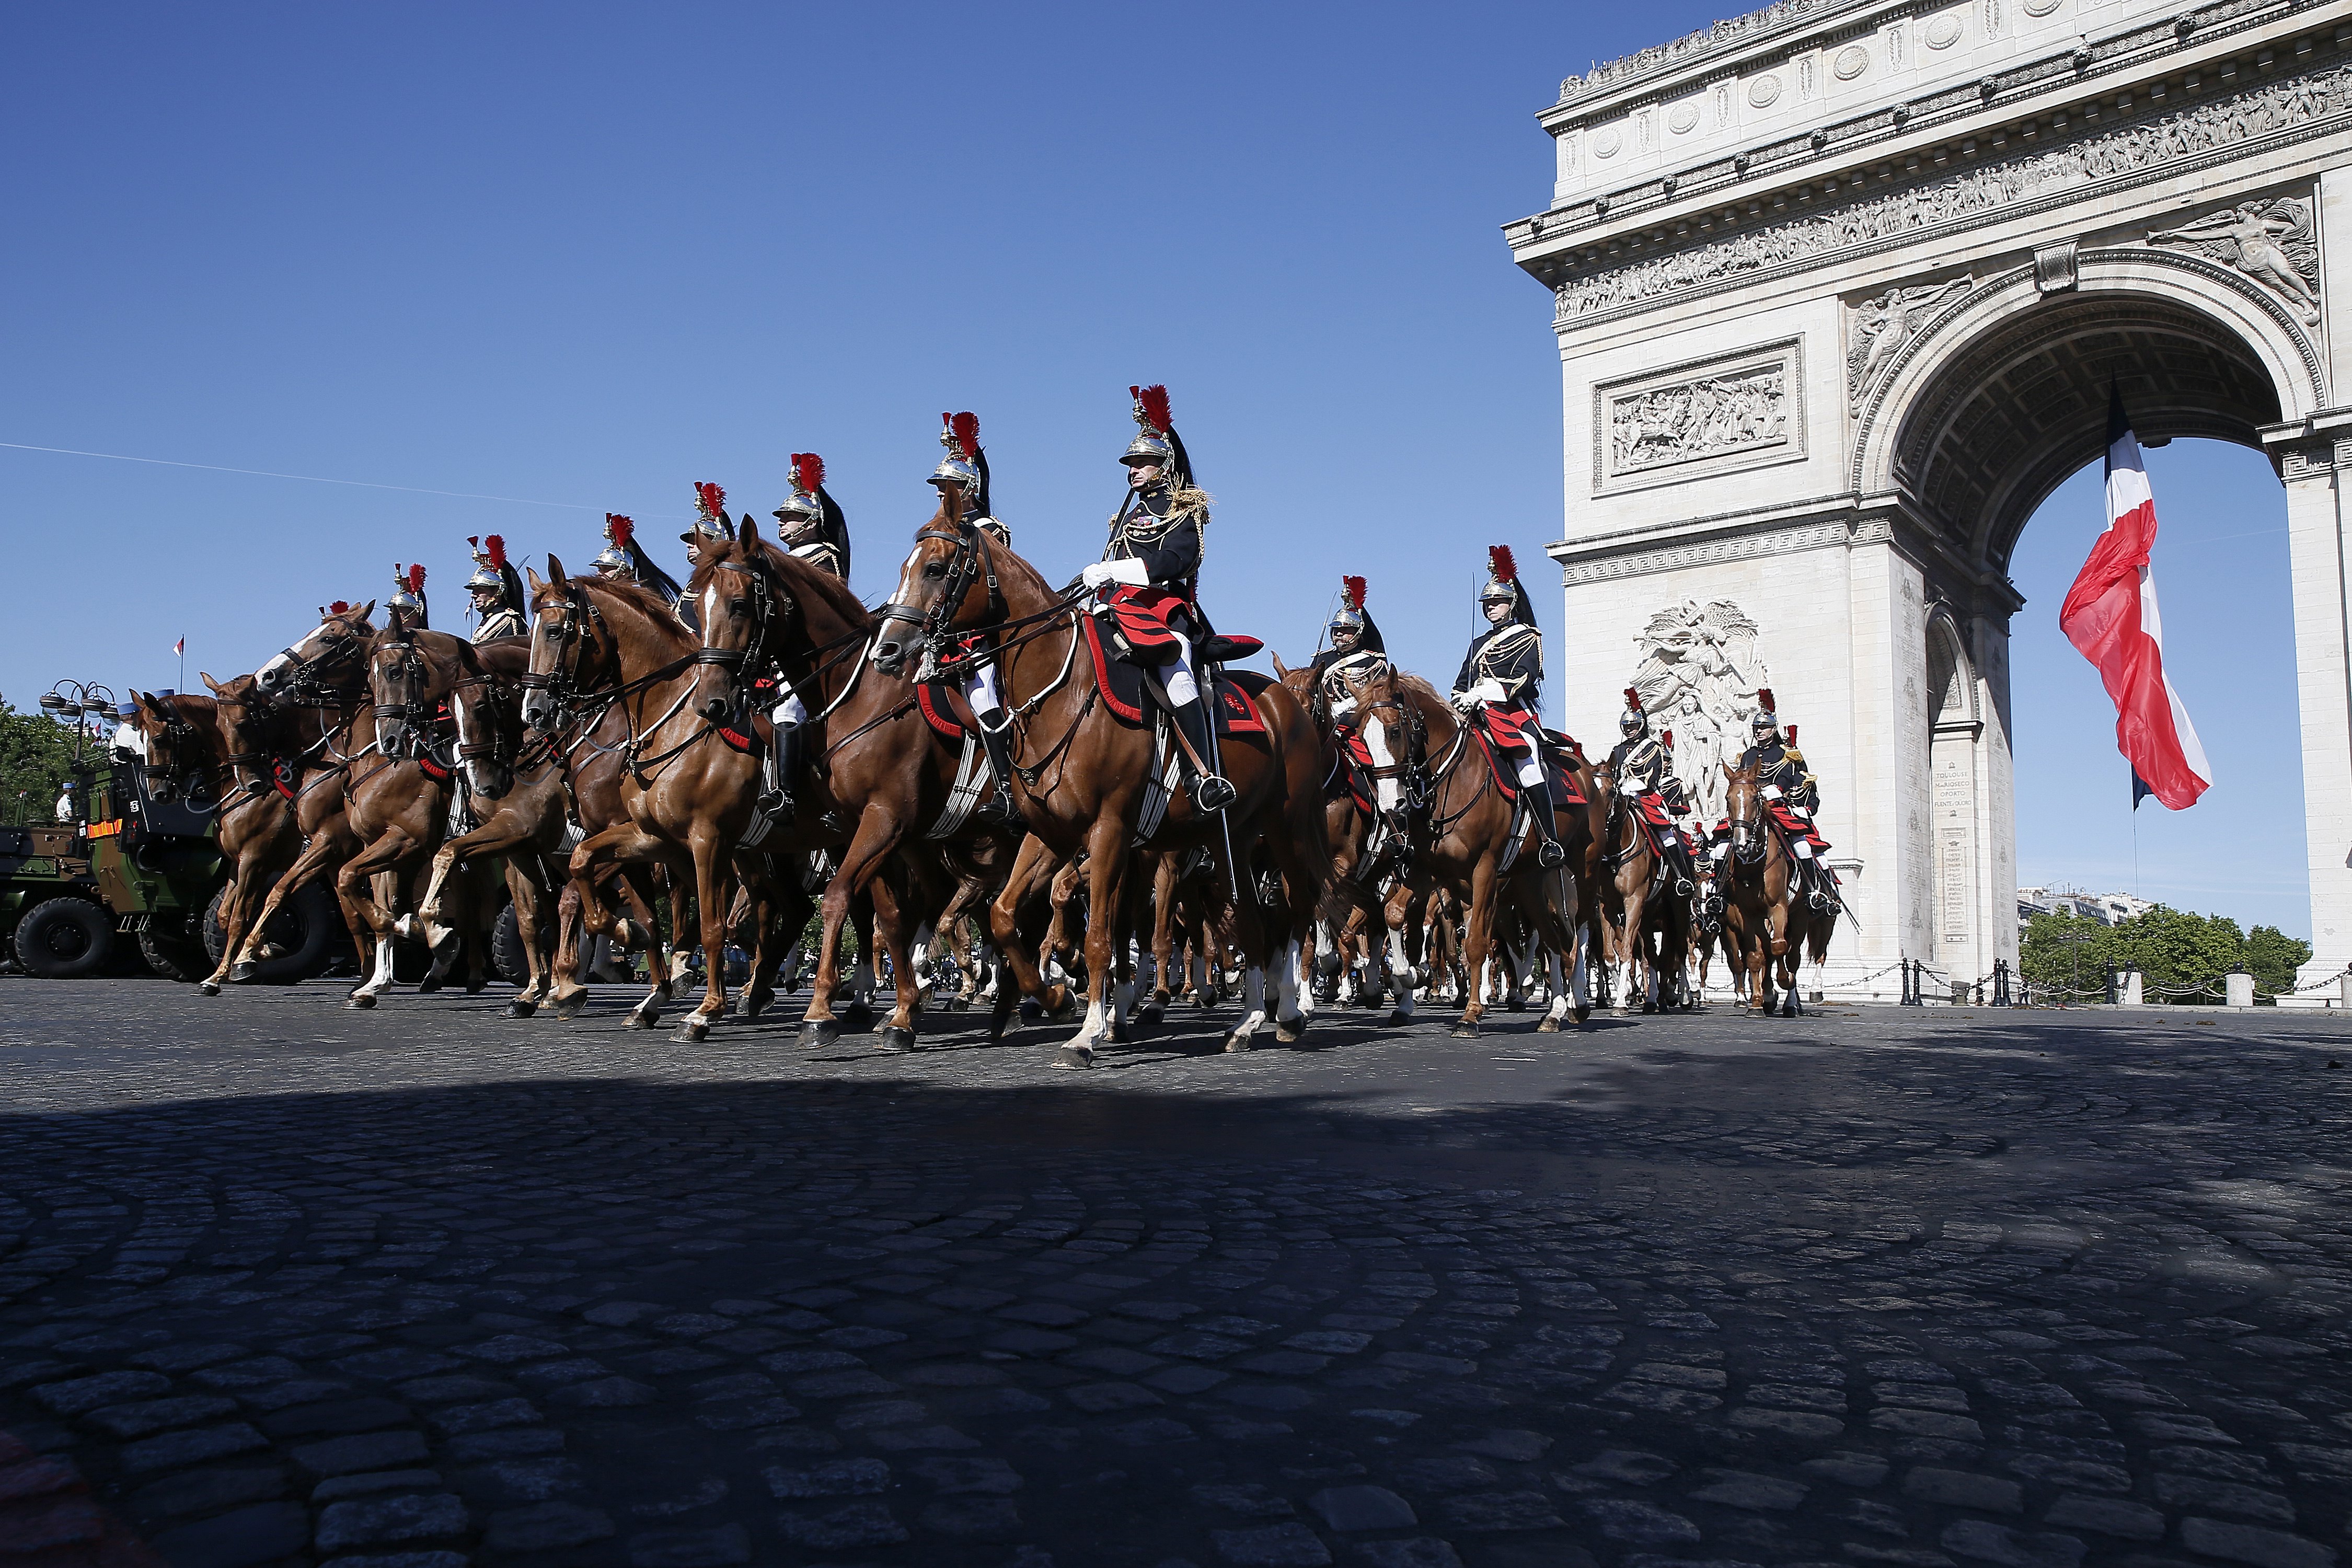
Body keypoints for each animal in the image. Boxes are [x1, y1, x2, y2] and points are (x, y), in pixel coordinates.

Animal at [875, 510, 1336, 1071]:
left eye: (937, 568)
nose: (888, 650)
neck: (1060, 692)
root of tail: (1282, 702)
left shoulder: (1109, 831)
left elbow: (1099, 937)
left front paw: (1087, 1032)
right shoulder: (1049, 834)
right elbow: (1007, 918)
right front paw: (1053, 997)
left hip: (1286, 829)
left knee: (1297, 910)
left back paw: (1289, 1011)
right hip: (1234, 841)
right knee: (1251, 920)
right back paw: (1247, 1022)